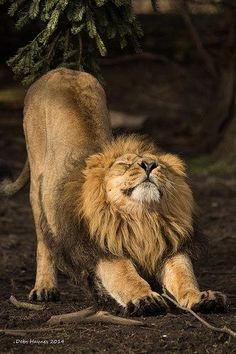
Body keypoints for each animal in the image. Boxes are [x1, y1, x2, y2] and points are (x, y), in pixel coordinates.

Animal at [0, 68, 228, 316]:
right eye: (126, 164)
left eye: (159, 165)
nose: (149, 164)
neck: (142, 217)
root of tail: (62, 70)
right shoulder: (105, 250)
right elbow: (126, 277)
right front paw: (144, 298)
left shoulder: (169, 247)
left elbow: (184, 277)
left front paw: (202, 298)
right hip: (37, 185)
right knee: (44, 241)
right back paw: (45, 288)